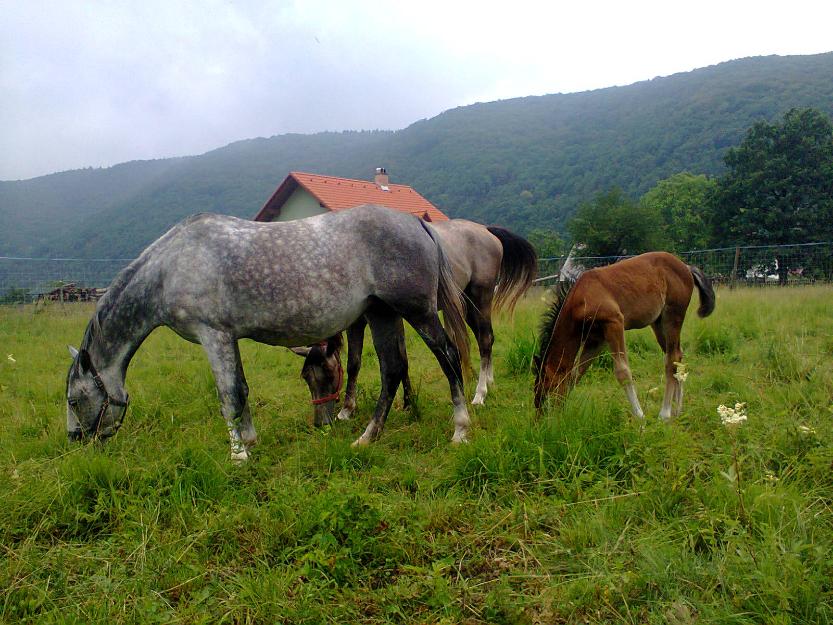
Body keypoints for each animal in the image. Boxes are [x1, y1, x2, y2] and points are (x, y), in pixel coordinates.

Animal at [64, 204, 468, 458]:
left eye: (72, 400)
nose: (75, 439)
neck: (170, 267)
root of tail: (416, 223)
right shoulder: (228, 337)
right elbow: (241, 389)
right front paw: (250, 441)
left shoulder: (212, 335)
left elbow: (227, 396)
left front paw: (237, 456)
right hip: (382, 314)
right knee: (393, 370)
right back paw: (367, 438)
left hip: (417, 313)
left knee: (448, 356)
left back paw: (460, 429)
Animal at [292, 218, 536, 420]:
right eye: (306, 376)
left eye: (327, 373)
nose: (321, 422)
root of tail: (486, 230)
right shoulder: (392, 318)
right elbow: (400, 360)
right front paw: (408, 403)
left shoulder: (363, 321)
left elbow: (355, 363)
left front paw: (346, 410)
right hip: (466, 305)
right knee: (486, 339)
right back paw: (489, 381)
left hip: (480, 297)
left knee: (485, 340)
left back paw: (480, 394)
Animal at [532, 252, 716, 420]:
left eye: (546, 388)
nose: (541, 419)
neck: (581, 299)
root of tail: (686, 267)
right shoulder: (596, 340)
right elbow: (576, 374)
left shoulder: (614, 324)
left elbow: (622, 371)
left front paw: (640, 417)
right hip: (658, 323)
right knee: (678, 354)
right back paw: (677, 410)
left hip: (673, 316)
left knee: (672, 358)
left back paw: (665, 414)